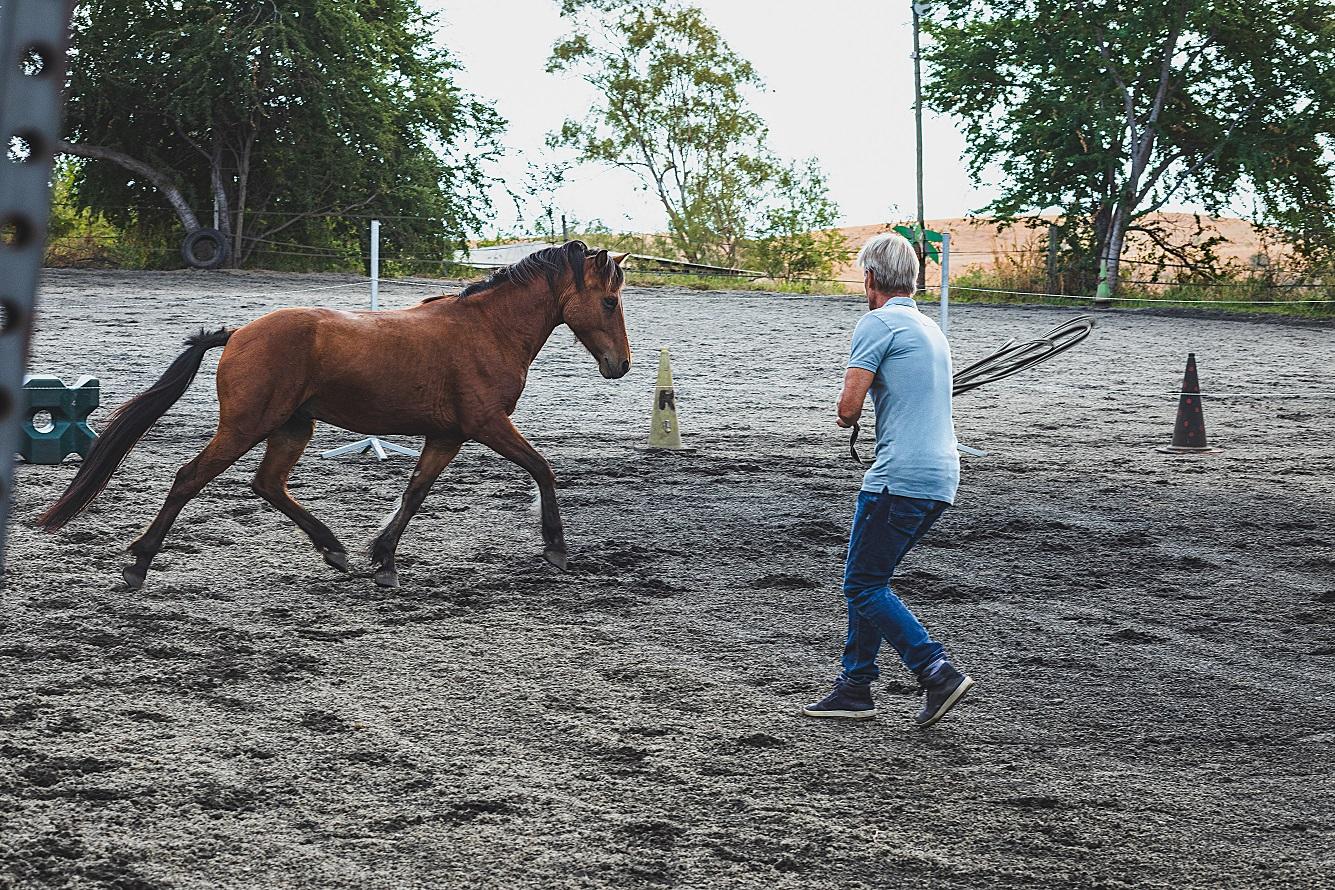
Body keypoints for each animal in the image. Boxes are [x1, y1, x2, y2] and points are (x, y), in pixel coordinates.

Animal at [36, 244, 630, 592]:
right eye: (608, 302)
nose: (620, 366)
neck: (487, 330)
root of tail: (239, 333)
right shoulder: (487, 425)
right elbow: (543, 469)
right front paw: (556, 547)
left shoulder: (446, 436)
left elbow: (415, 492)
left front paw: (383, 559)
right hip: (245, 428)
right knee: (189, 479)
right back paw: (138, 564)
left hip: (293, 427)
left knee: (268, 485)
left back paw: (334, 550)